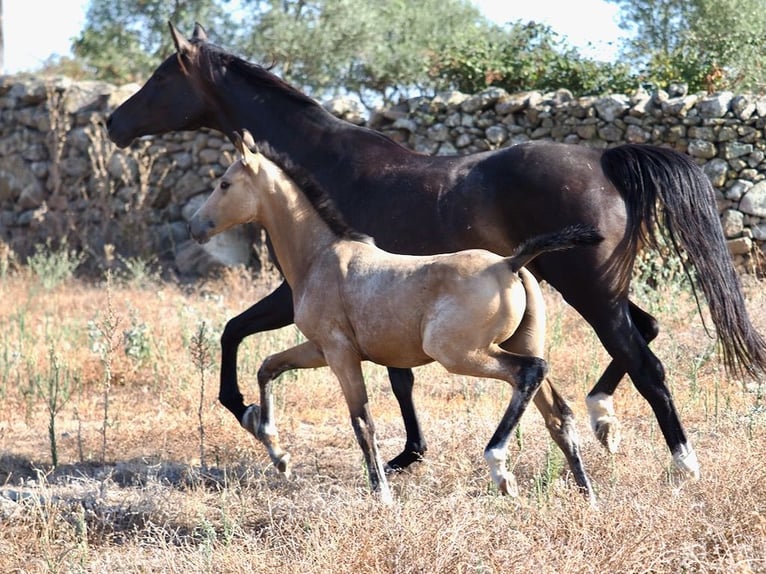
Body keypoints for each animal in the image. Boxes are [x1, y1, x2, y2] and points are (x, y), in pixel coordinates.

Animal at [189, 132, 604, 501]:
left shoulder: (340, 354)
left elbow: (362, 422)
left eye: (225, 184)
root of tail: (510, 263)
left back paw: (499, 467)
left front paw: (382, 493)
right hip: (518, 343)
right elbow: (268, 367)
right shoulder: (319, 349)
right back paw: (588, 496)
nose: (196, 226)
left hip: (459, 354)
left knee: (529, 372)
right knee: (557, 414)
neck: (320, 256)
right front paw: (278, 454)